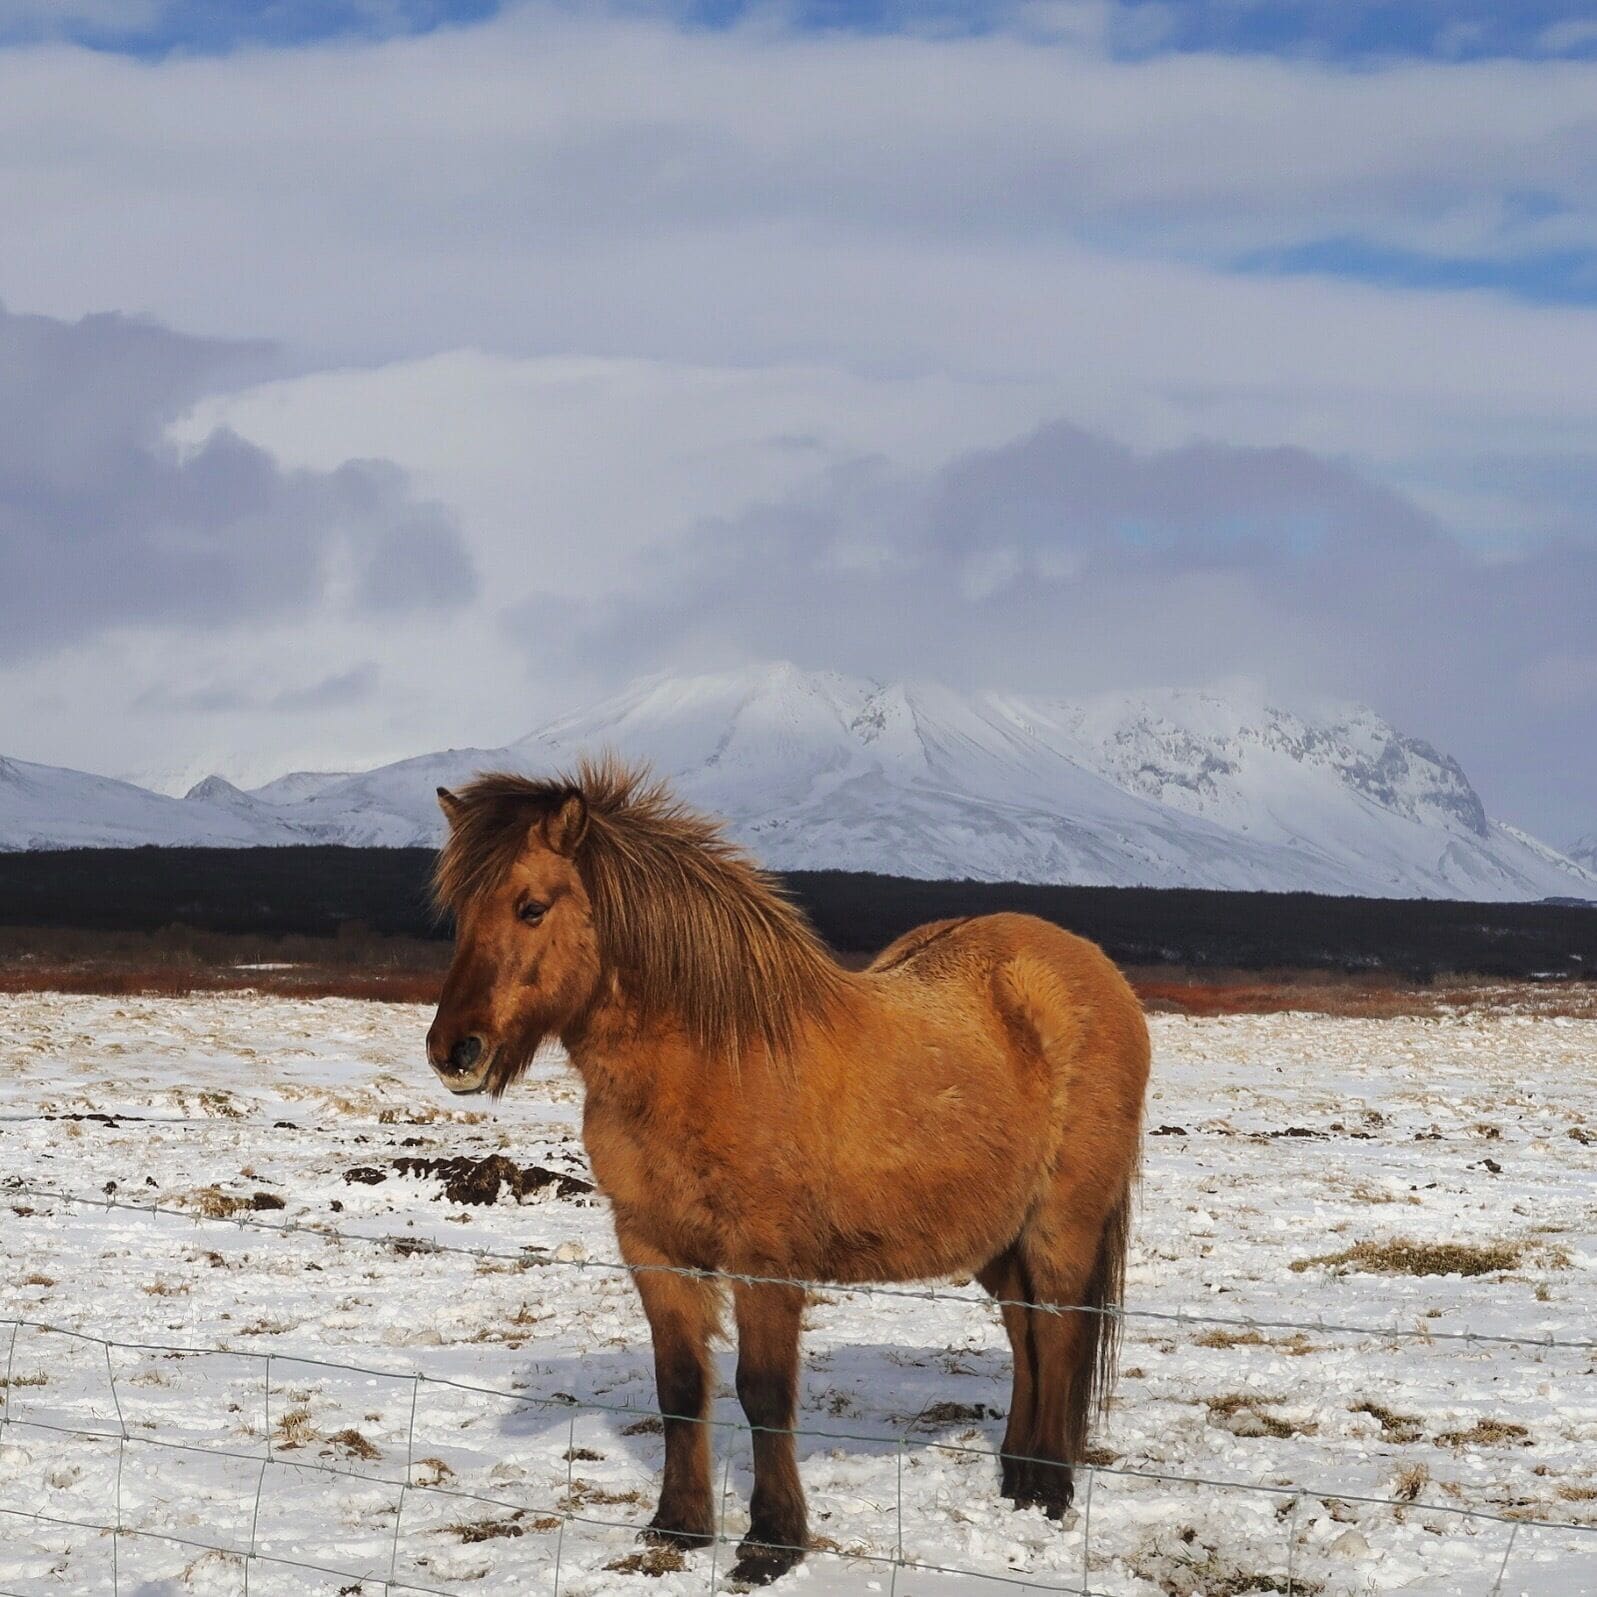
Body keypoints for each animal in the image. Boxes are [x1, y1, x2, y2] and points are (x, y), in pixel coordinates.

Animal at [425, 758, 1149, 1586]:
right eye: (459, 909)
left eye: (531, 906)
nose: (453, 1050)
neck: (709, 1058)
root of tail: (1091, 971)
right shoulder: (652, 1248)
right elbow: (680, 1384)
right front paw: (678, 1524)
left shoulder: (765, 1259)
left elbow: (763, 1392)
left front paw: (770, 1543)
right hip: (997, 1238)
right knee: (1025, 1329)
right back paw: (1017, 1475)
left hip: (1061, 1224)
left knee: (1059, 1331)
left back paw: (1050, 1491)